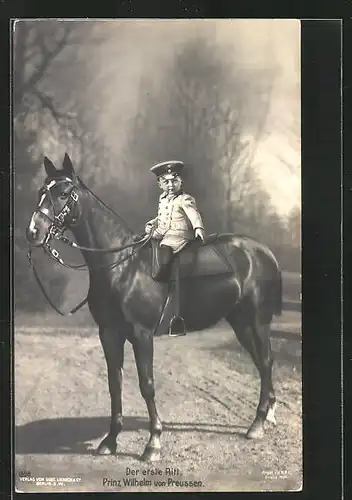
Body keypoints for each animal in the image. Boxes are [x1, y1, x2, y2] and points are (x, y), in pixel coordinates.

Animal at [26, 155, 282, 460]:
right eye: (42, 191)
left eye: (64, 193)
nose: (34, 232)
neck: (122, 266)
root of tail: (263, 251)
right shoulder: (109, 334)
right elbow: (114, 385)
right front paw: (110, 441)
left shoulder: (141, 335)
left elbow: (146, 385)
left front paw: (153, 443)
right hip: (240, 323)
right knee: (261, 364)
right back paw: (266, 416)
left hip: (258, 321)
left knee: (265, 362)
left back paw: (257, 424)